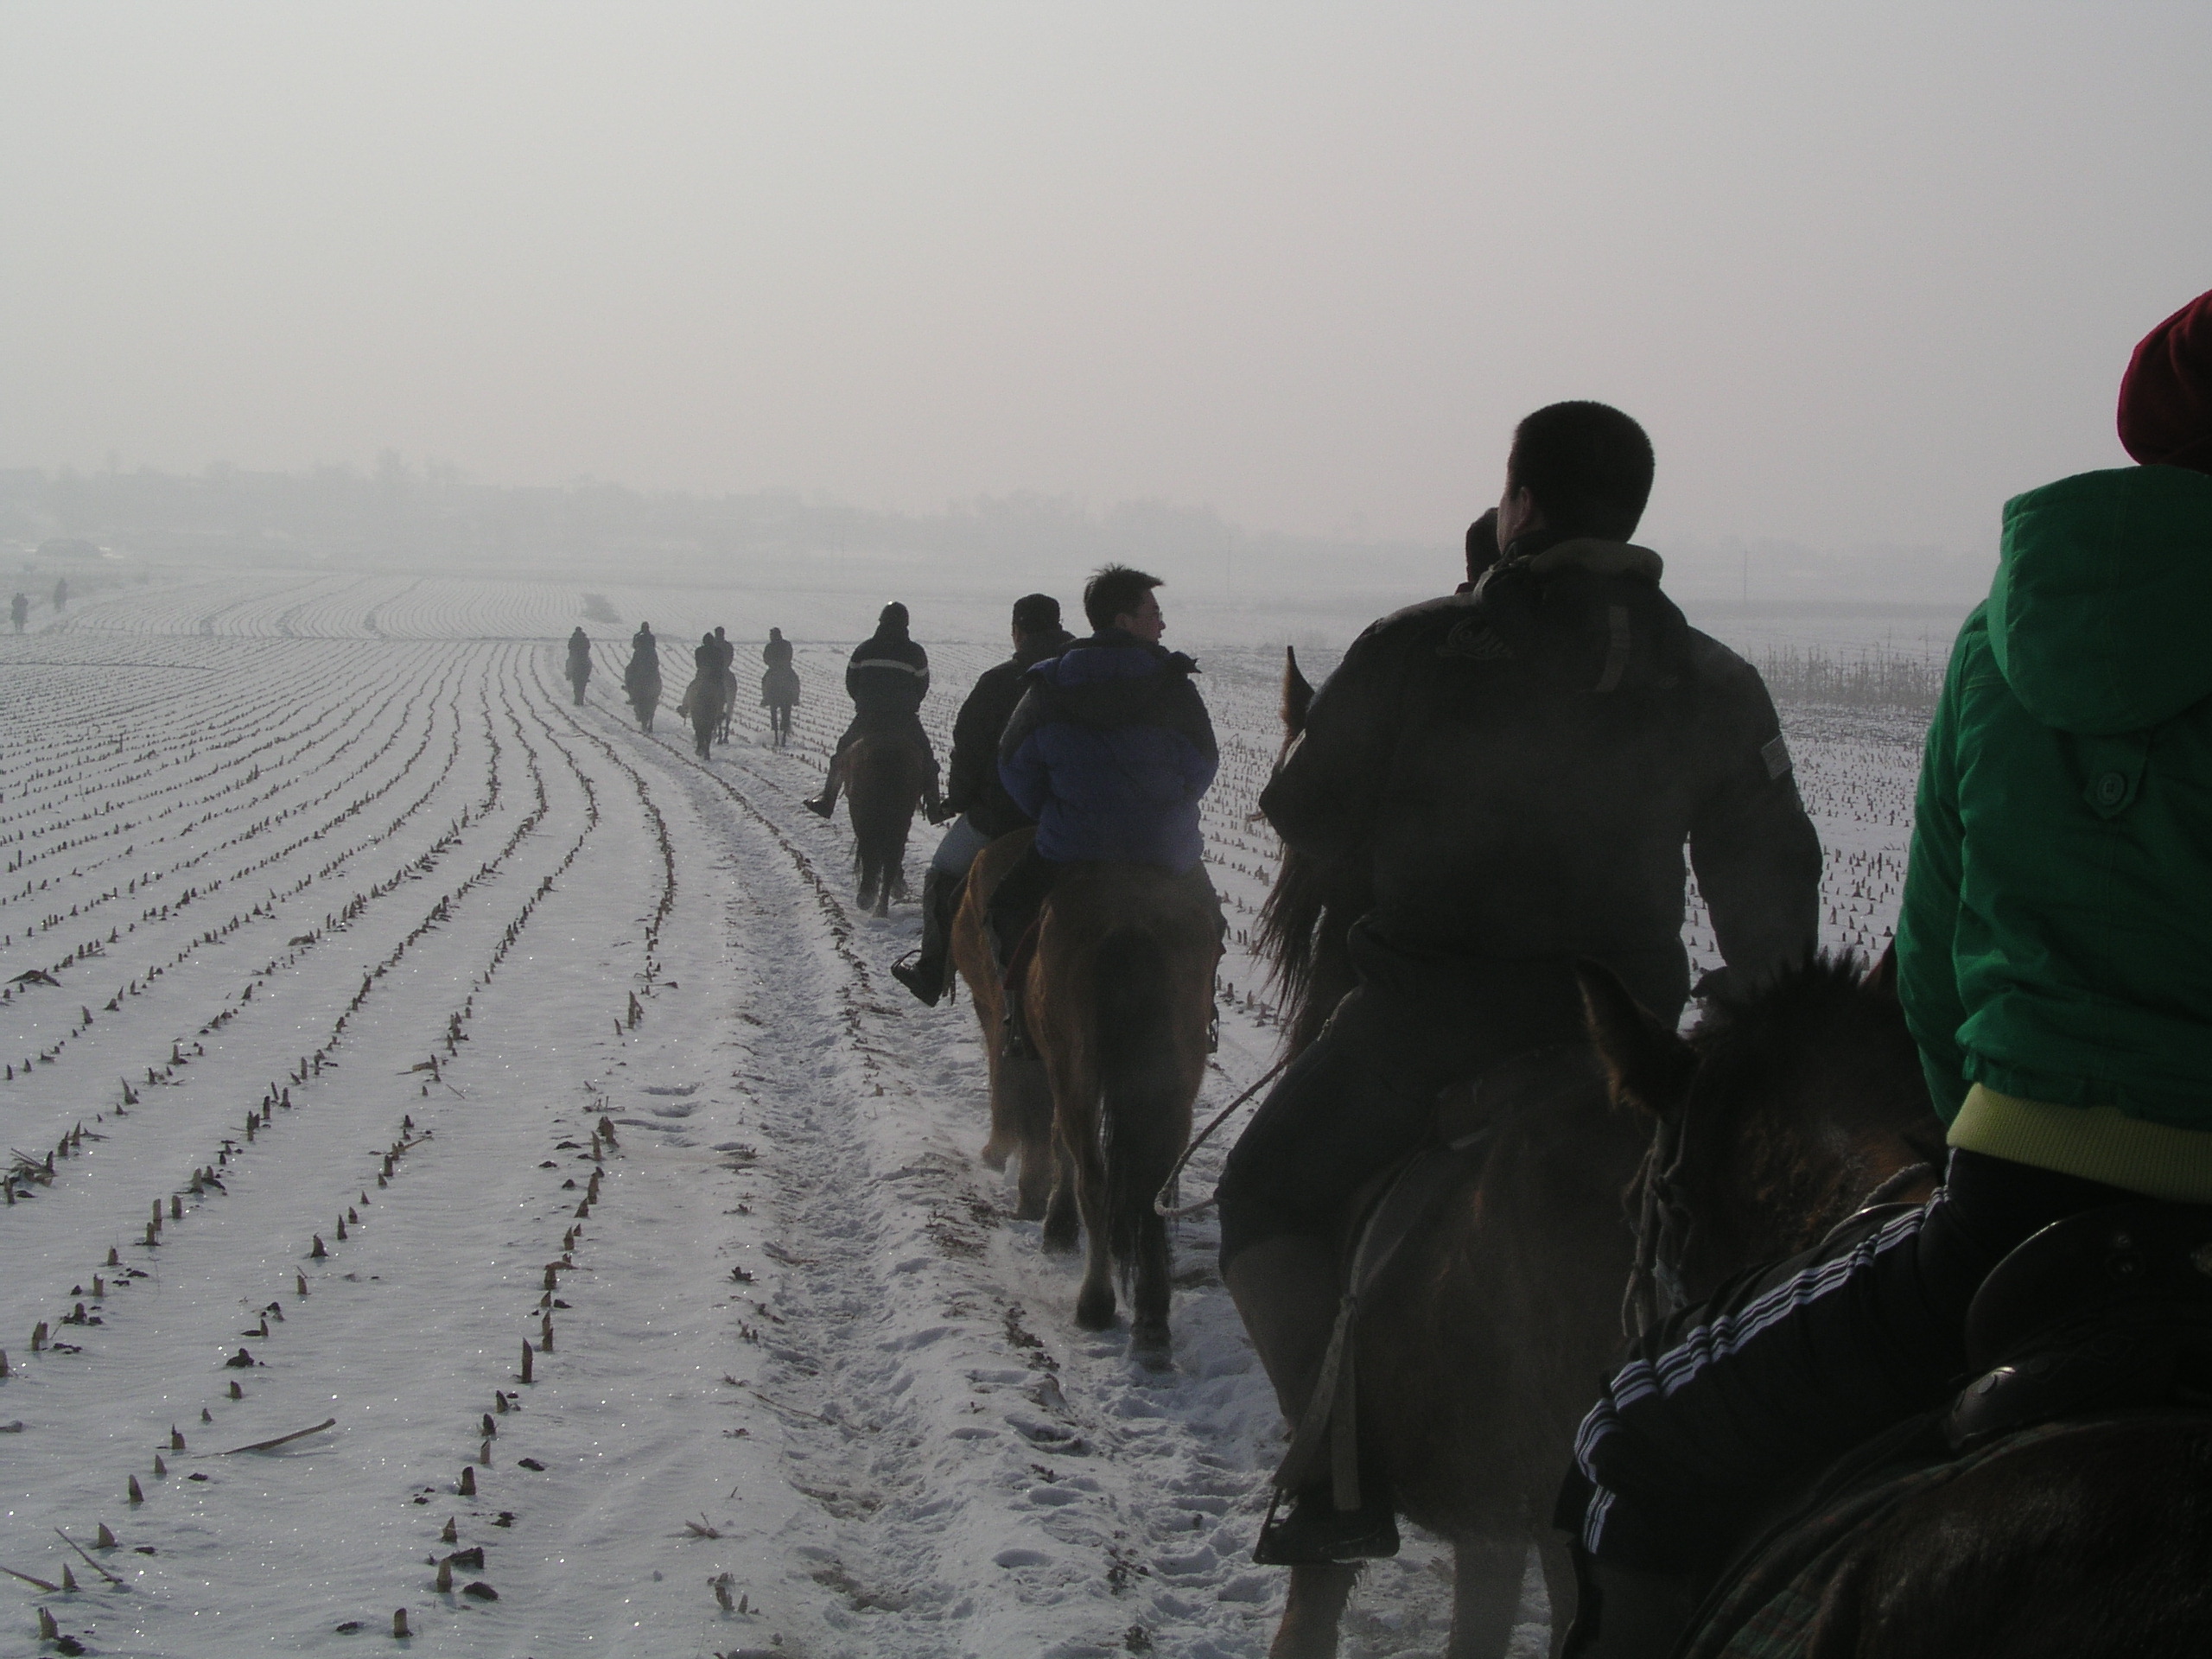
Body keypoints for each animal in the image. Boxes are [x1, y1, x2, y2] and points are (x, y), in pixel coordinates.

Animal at [836, 739, 925, 925]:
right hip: (899, 818)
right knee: (891, 855)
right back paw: (881, 906)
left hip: (866, 813)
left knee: (873, 850)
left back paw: (869, 899)